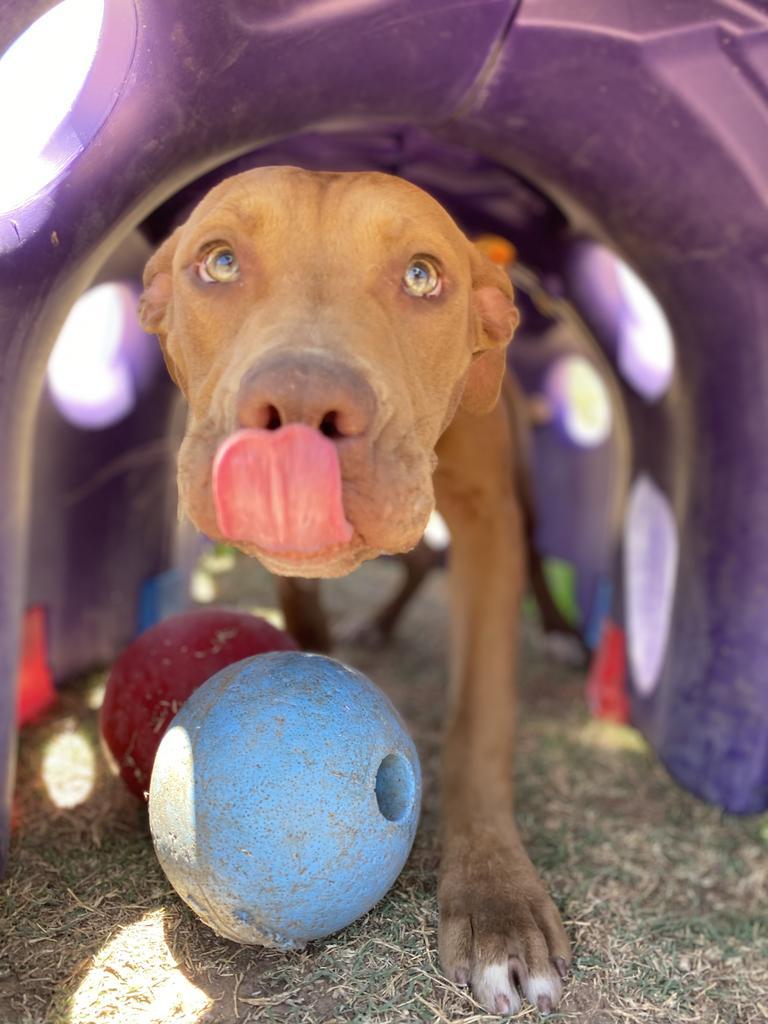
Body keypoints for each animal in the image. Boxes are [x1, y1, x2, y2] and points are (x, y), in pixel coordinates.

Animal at [140, 167, 573, 1015]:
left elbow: (479, 720)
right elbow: (299, 600)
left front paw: (497, 902)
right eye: (218, 262)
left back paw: (559, 628)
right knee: (414, 564)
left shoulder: (488, 520)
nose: (304, 407)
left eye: (422, 276)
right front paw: (316, 658)